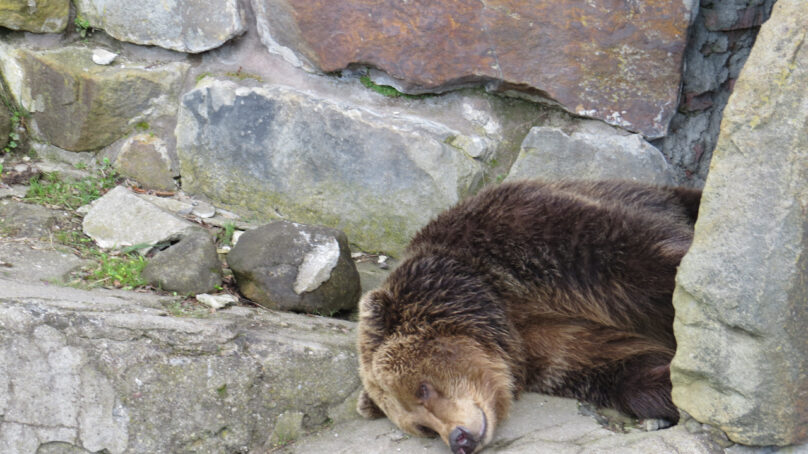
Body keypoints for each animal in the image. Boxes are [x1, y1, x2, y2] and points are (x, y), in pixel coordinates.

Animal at [356, 179, 700, 452]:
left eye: (422, 388)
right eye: (423, 427)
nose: (458, 439)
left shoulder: (526, 239)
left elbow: (641, 255)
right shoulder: (554, 347)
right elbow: (626, 366)